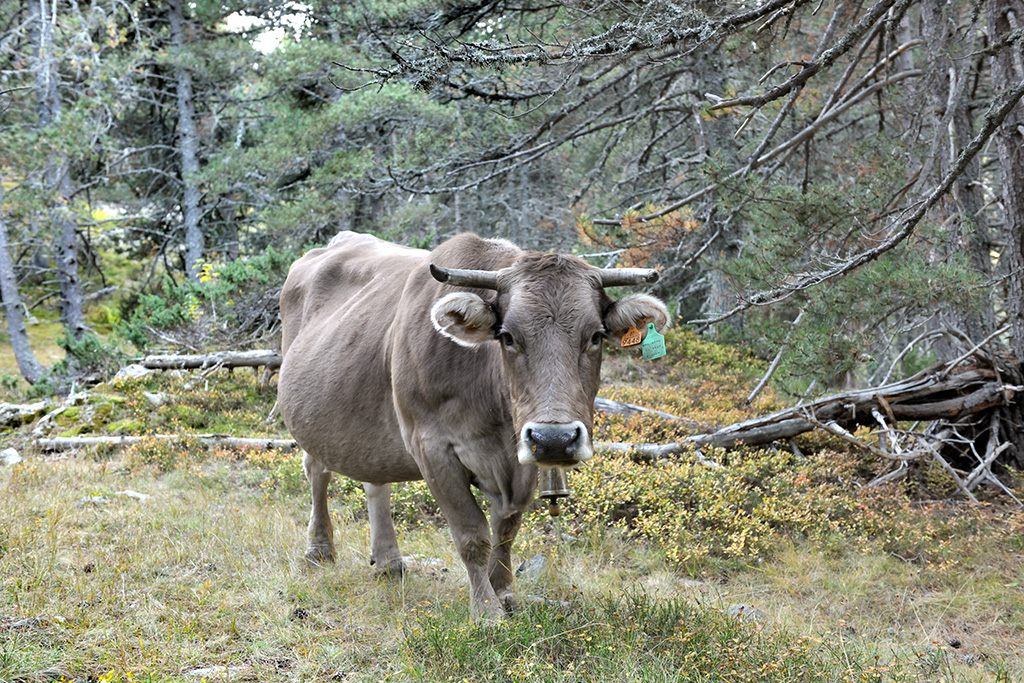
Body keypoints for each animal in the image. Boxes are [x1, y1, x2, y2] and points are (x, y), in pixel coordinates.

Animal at [276, 231, 671, 618]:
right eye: (508, 336)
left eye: (595, 336)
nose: (555, 438)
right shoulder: (431, 446)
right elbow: (471, 534)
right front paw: (486, 610)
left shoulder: (520, 458)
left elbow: (506, 529)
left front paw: (504, 593)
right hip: (312, 420)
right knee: (317, 471)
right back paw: (320, 549)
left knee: (376, 481)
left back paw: (389, 561)